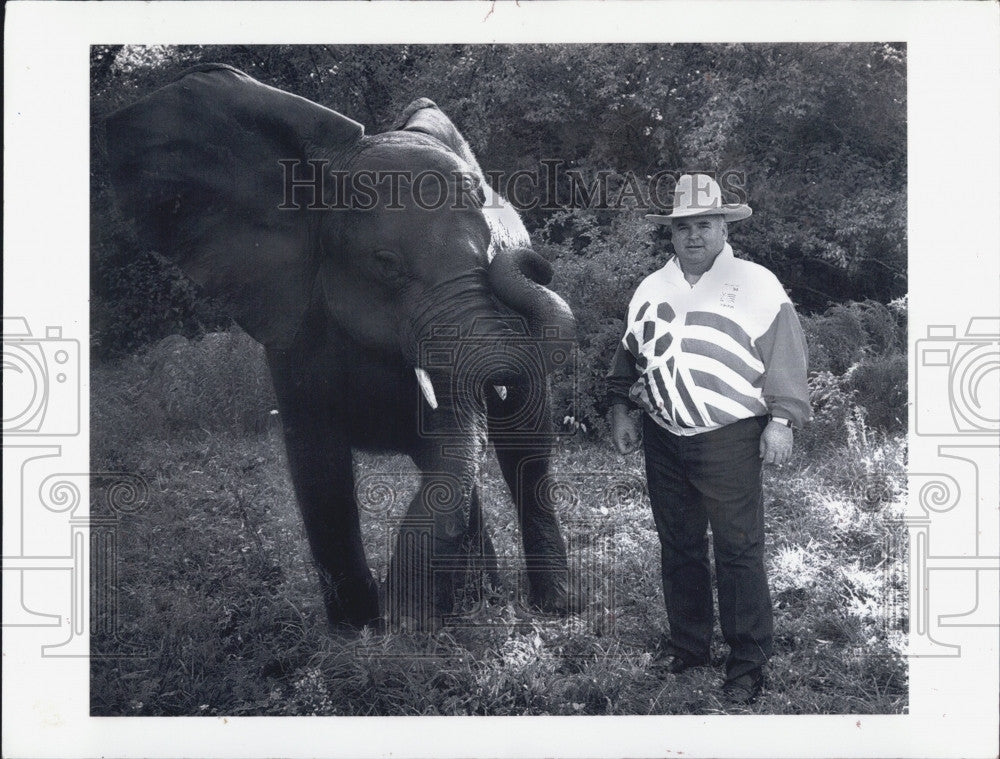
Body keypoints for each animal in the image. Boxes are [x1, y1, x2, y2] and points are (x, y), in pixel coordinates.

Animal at [104, 65, 576, 636]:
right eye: (385, 262)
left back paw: (549, 604)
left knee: (527, 452)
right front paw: (360, 628)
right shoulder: (296, 324)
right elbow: (318, 463)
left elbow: (451, 443)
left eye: (490, 248)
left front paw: (410, 617)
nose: (530, 261)